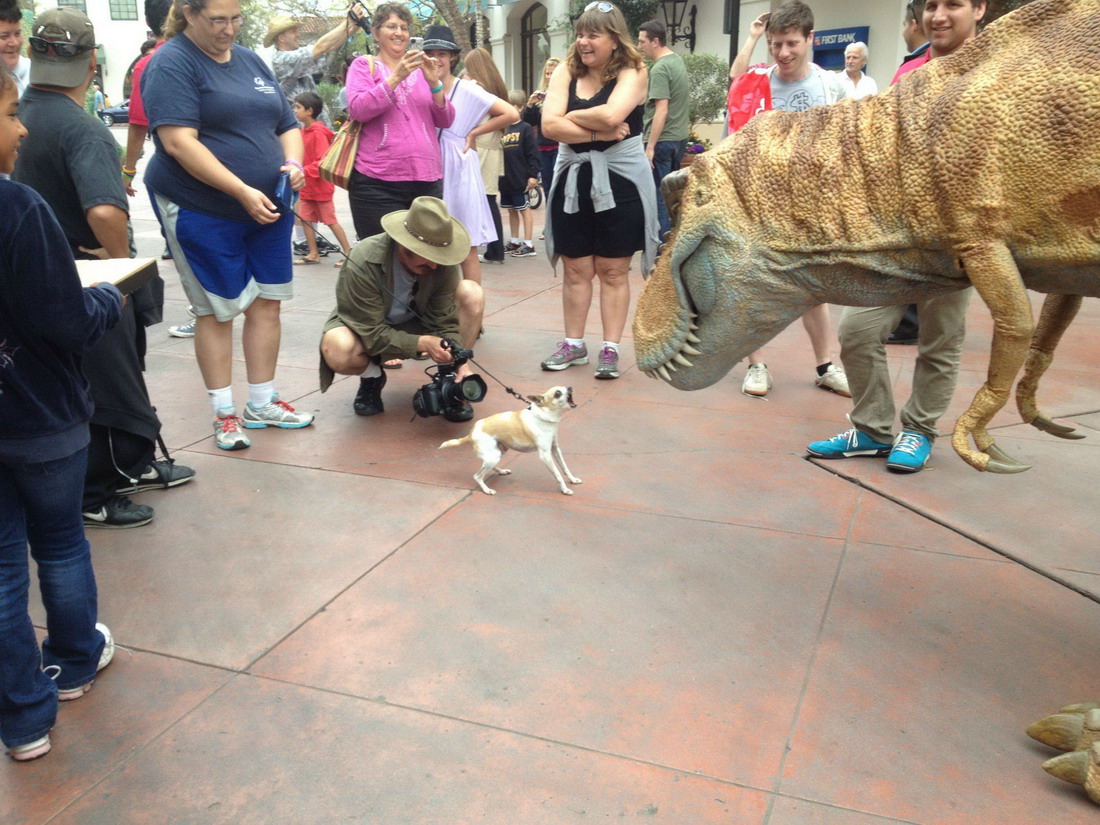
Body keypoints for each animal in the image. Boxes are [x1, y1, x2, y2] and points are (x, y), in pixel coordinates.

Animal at [435, 389, 580, 497]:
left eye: (565, 387)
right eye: (557, 393)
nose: (570, 388)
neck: (544, 415)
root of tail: (470, 434)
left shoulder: (555, 449)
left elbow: (564, 468)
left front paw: (573, 479)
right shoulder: (545, 455)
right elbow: (558, 474)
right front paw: (565, 489)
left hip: (498, 452)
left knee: (488, 467)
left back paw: (501, 471)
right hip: (493, 456)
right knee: (477, 476)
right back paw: (486, 490)